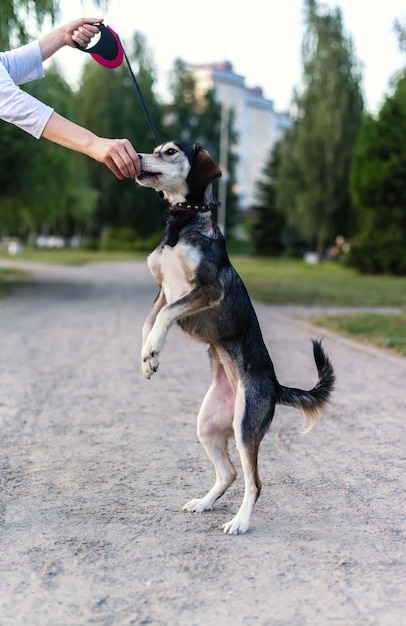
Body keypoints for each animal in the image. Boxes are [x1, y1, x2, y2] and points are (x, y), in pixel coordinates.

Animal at [135, 140, 334, 532]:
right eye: (155, 148)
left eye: (169, 151)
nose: (135, 158)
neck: (184, 225)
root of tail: (273, 385)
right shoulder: (163, 290)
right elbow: (149, 323)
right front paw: (148, 356)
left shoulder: (206, 291)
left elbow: (163, 317)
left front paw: (153, 350)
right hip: (208, 426)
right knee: (228, 474)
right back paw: (204, 503)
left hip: (245, 427)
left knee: (254, 482)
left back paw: (240, 522)